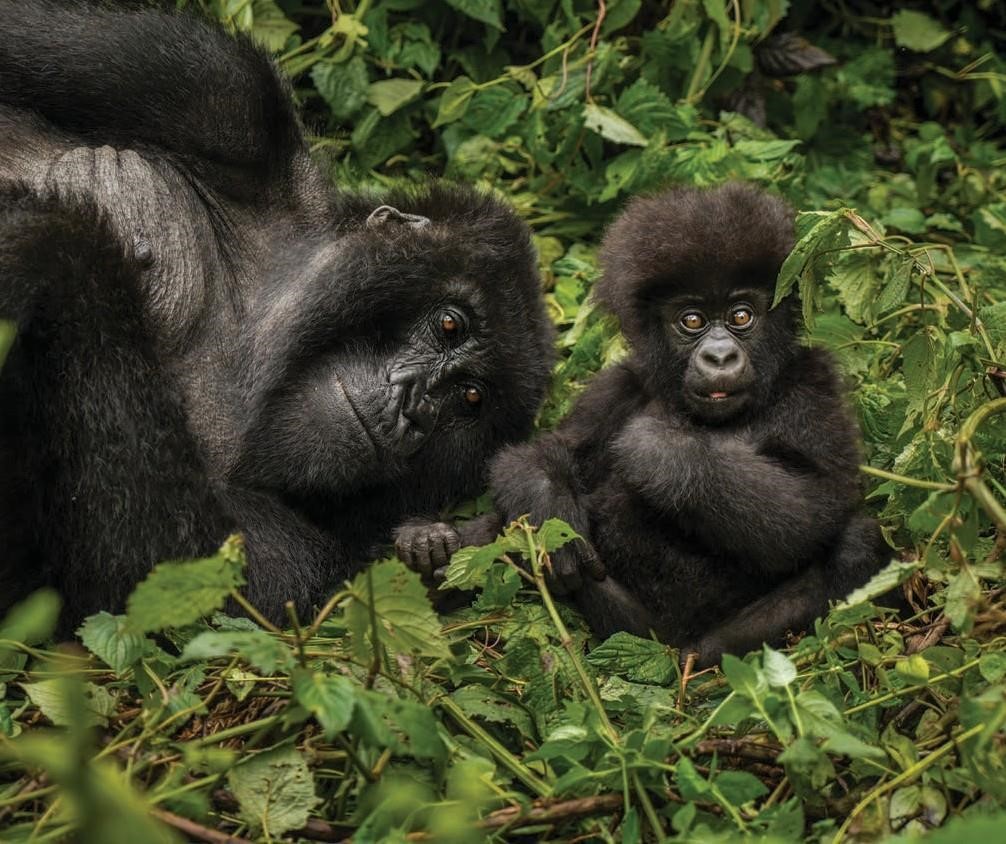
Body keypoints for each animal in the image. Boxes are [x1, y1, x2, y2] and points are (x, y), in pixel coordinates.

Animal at [0, 1, 551, 627]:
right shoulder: (221, 93)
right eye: (450, 324)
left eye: (471, 398)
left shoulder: (304, 562)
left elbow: (152, 582)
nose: (414, 407)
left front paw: (45, 243)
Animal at [482, 183, 877, 667]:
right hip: (637, 630)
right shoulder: (620, 384)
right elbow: (541, 452)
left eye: (741, 316)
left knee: (858, 540)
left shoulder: (812, 382)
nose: (720, 356)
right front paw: (551, 515)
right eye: (692, 320)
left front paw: (659, 451)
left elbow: (819, 500)